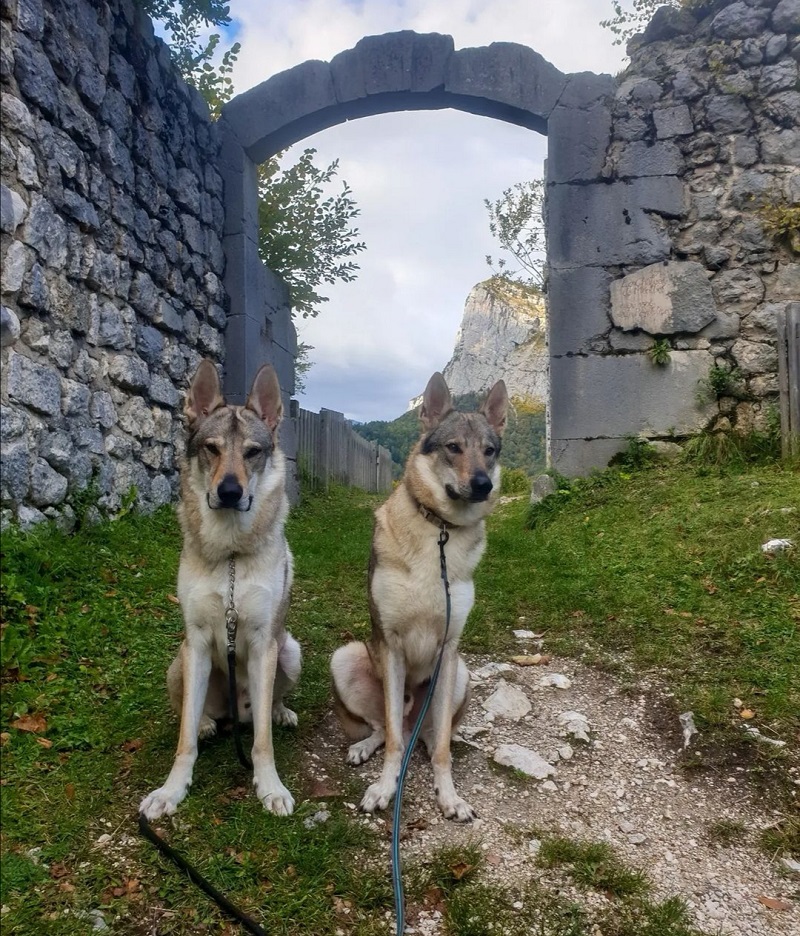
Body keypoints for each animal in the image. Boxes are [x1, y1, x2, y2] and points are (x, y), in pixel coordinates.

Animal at [139, 360, 302, 820]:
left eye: (252, 452)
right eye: (210, 448)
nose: (230, 491)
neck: (230, 554)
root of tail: (233, 713)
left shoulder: (265, 641)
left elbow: (262, 742)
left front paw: (270, 787)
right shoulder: (194, 641)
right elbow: (184, 741)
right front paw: (172, 790)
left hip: (290, 650)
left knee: (266, 709)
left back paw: (280, 713)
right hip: (178, 662)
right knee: (192, 715)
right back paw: (210, 722)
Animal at [330, 372, 506, 820]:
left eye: (490, 451)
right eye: (453, 447)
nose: (482, 485)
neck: (439, 530)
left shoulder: (448, 648)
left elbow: (442, 747)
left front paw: (449, 796)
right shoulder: (391, 645)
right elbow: (391, 739)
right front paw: (384, 789)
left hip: (460, 674)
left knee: (427, 737)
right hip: (347, 658)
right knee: (386, 729)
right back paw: (364, 747)